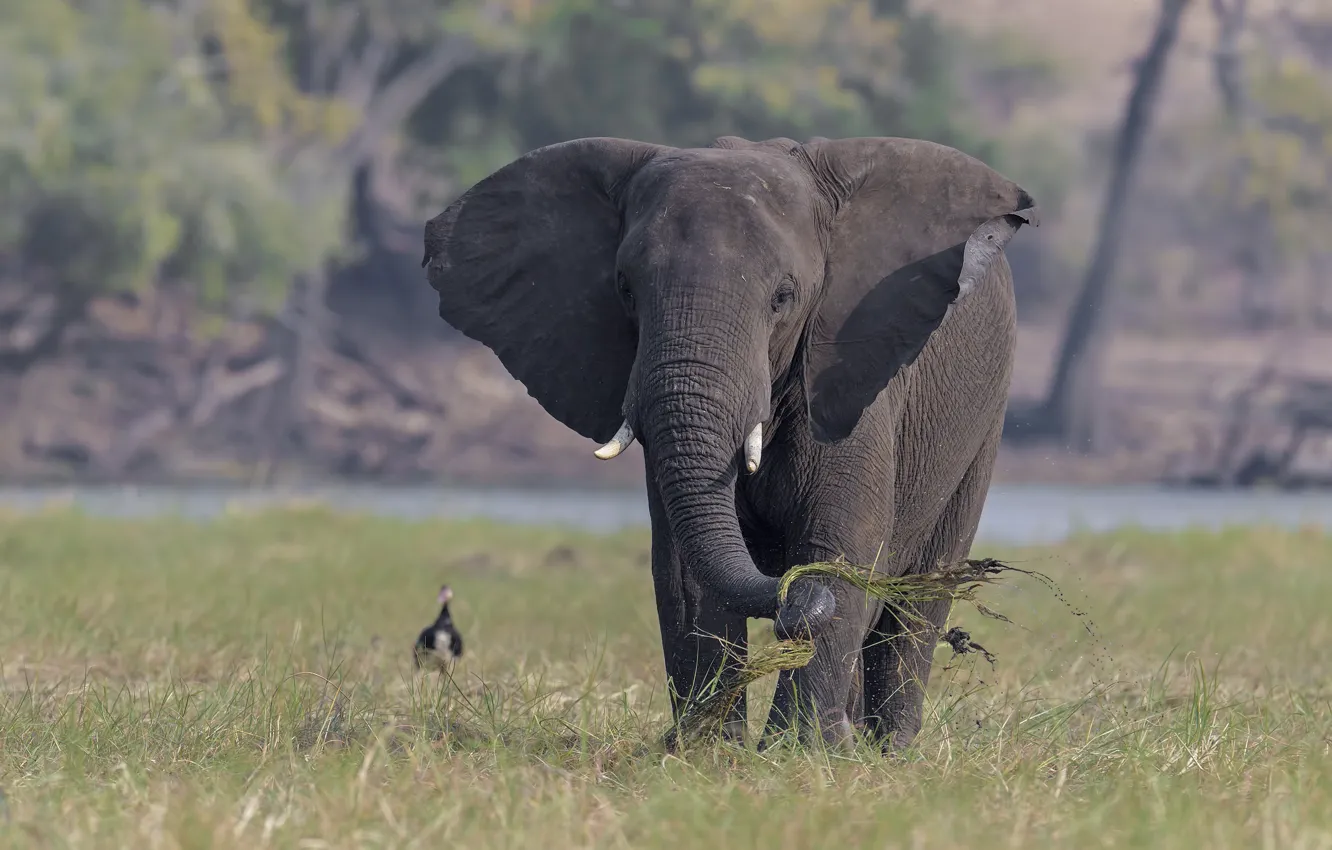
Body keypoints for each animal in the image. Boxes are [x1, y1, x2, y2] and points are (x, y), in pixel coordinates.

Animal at [418, 133, 1038, 751]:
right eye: (625, 289)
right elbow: (682, 568)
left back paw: (886, 750)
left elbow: (842, 544)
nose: (793, 597)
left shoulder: (851, 379)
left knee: (922, 595)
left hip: (983, 419)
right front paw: (707, 750)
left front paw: (797, 750)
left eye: (783, 297)